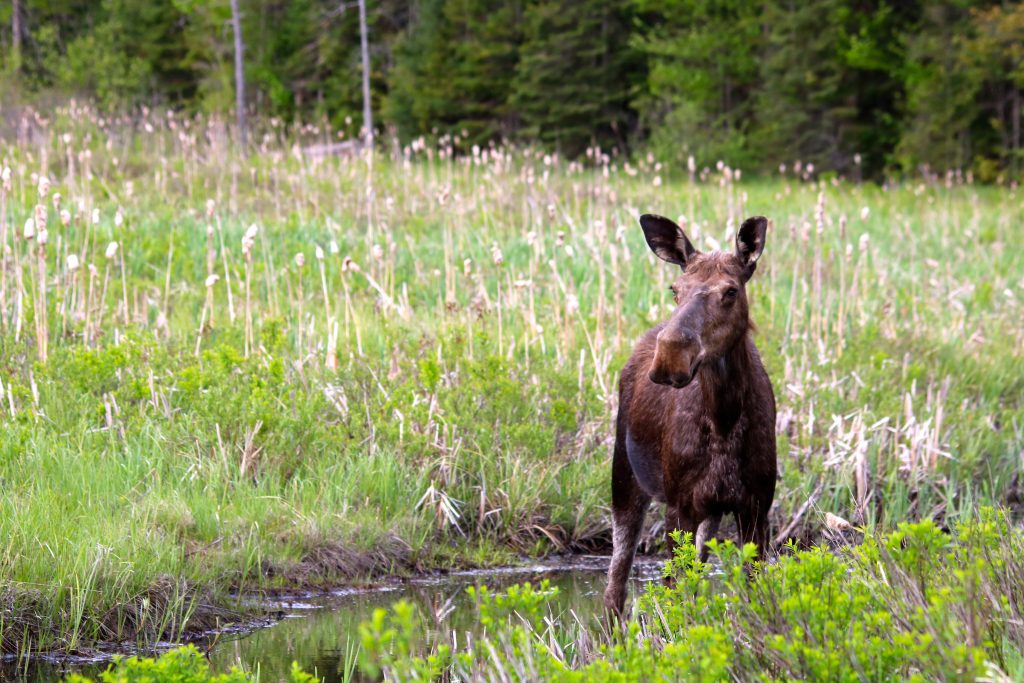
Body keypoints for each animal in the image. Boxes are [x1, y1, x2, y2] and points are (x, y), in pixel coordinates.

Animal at [603, 213, 777, 616]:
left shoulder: (757, 506)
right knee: (614, 588)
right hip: (624, 478)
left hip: (709, 513)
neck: (725, 420)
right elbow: (673, 594)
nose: (670, 355)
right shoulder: (678, 506)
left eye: (730, 291)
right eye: (675, 289)